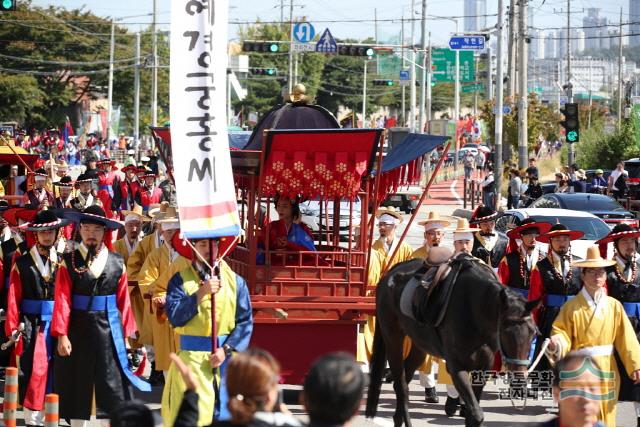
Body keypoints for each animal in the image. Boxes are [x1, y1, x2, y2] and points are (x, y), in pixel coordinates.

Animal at [364, 254, 540, 427]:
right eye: (505, 331)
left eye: (533, 332)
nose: (519, 377)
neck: (475, 310)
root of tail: (389, 274)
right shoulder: (456, 367)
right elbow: (477, 415)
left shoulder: (483, 367)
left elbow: (472, 416)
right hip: (393, 339)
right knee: (401, 387)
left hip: (419, 346)